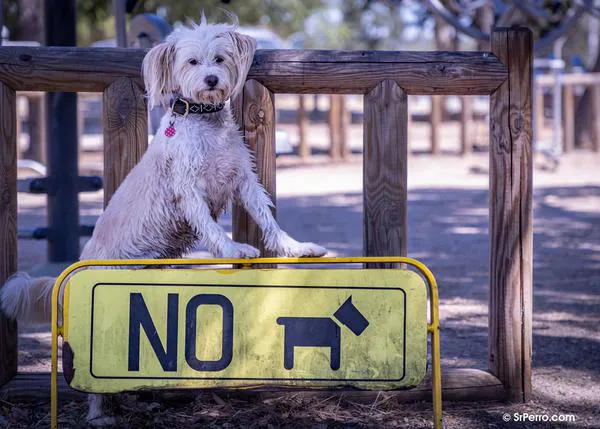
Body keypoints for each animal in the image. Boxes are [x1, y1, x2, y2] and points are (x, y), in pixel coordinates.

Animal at [1, 15, 328, 424]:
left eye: (219, 59)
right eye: (192, 62)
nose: (211, 80)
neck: (204, 123)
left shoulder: (242, 179)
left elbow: (266, 217)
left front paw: (297, 248)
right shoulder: (188, 189)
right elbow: (211, 227)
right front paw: (232, 248)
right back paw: (100, 414)